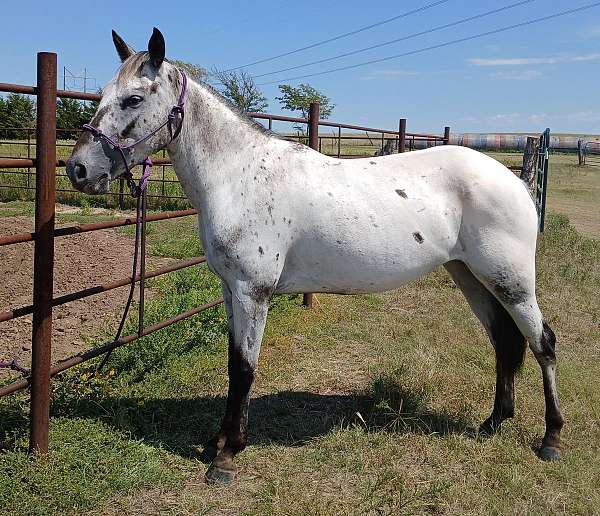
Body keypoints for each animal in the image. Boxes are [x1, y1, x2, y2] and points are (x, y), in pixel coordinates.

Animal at [65, 28, 564, 486]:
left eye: (133, 99)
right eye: (101, 94)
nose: (79, 169)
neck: (239, 175)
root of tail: (514, 180)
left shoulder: (253, 292)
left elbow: (244, 368)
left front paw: (227, 457)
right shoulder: (230, 291)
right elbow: (233, 362)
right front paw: (219, 440)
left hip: (511, 281)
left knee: (542, 342)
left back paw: (551, 440)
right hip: (470, 276)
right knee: (504, 341)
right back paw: (493, 423)